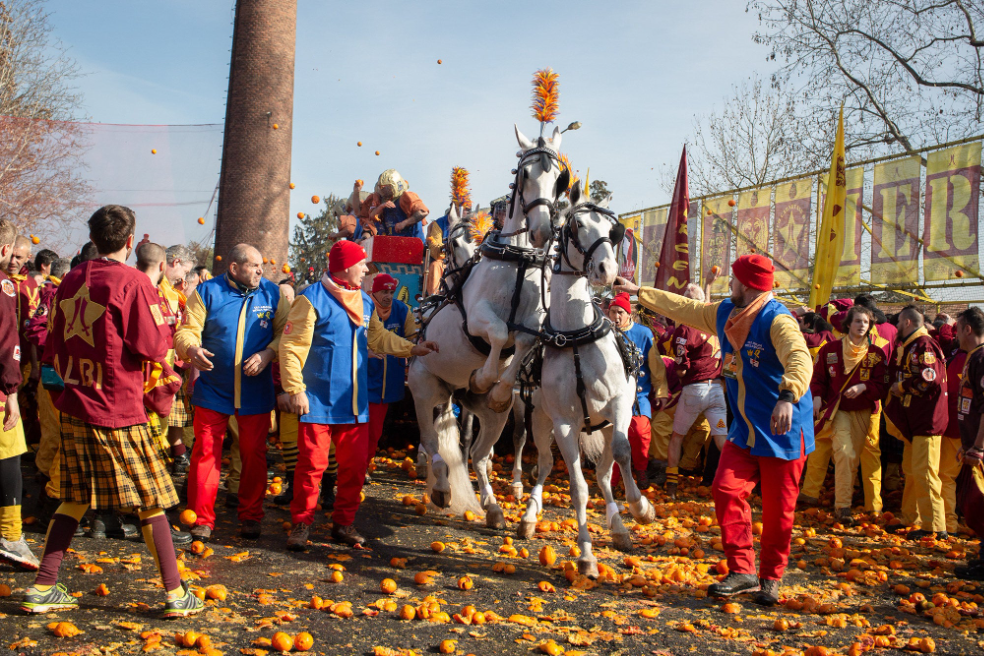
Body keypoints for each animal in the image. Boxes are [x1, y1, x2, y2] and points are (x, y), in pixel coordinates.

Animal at [406, 124, 560, 524]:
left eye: (558, 178)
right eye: (524, 173)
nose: (542, 230)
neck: (517, 259)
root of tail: (450, 390)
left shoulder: (534, 323)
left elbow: (520, 344)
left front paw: (498, 385)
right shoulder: (478, 318)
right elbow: (499, 333)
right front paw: (484, 376)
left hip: (492, 416)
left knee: (476, 454)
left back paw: (491, 505)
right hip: (424, 390)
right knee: (433, 444)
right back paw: (442, 488)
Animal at [524, 182, 652, 576]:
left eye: (613, 230)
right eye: (577, 225)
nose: (607, 269)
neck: (576, 336)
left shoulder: (619, 406)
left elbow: (624, 454)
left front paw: (641, 508)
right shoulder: (564, 423)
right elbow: (578, 488)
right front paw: (585, 555)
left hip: (605, 426)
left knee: (606, 474)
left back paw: (620, 527)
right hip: (540, 421)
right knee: (546, 467)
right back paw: (529, 516)